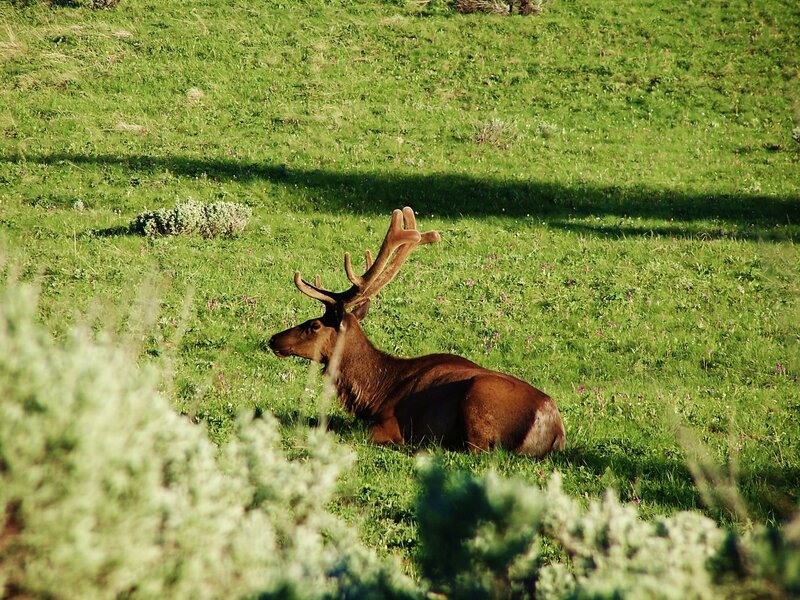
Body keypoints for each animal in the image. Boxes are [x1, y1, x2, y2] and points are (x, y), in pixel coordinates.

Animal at [268, 207, 566, 457]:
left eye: (314, 325)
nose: (273, 339)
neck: (374, 394)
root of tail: (553, 428)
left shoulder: (389, 423)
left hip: (480, 402)